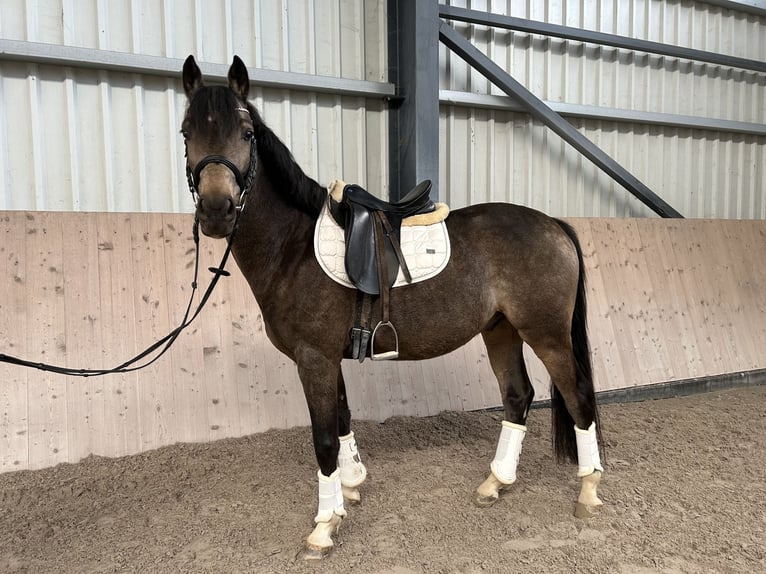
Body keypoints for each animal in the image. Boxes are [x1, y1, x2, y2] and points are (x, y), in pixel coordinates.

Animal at [180, 55, 604, 559]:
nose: (217, 211)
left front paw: (323, 527)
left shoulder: (314, 359)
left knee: (579, 398)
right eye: (186, 132)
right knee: (518, 396)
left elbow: (324, 439)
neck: (293, 248)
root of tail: (554, 224)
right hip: (501, 330)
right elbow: (342, 420)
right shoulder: (327, 359)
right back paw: (495, 483)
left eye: (246, 133)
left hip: (546, 334)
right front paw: (349, 489)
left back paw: (589, 491)